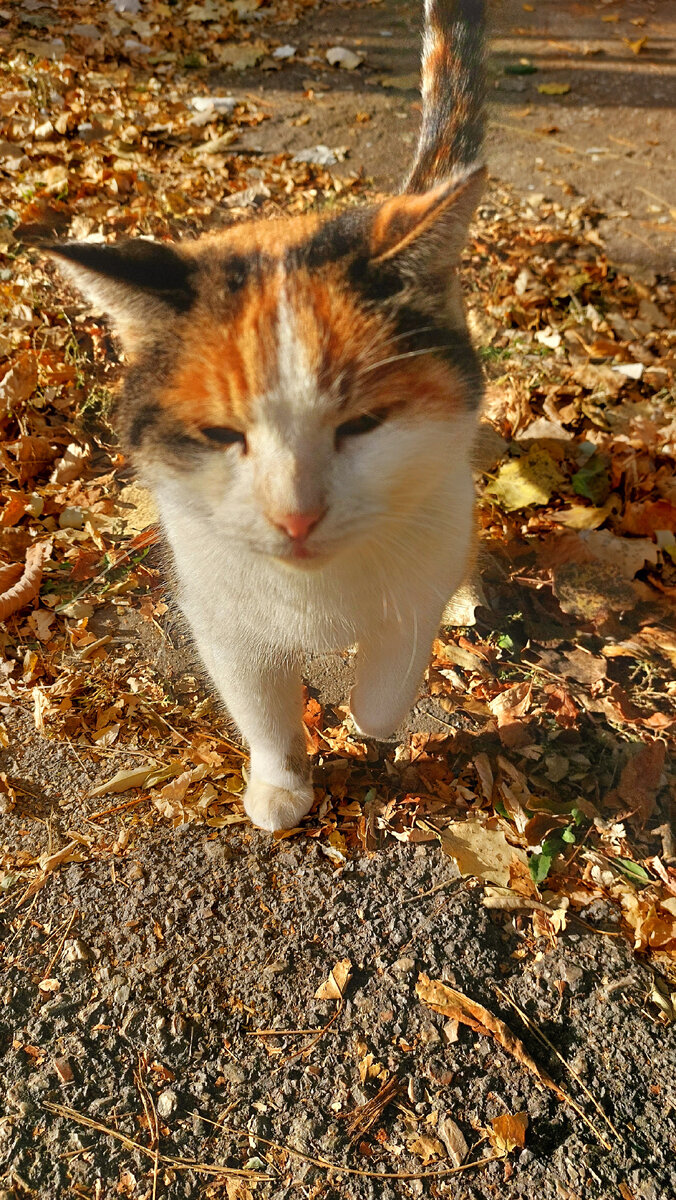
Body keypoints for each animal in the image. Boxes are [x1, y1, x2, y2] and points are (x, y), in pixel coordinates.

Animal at [52, 0, 487, 830]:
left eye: (362, 425)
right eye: (222, 436)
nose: (296, 518)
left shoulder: (427, 571)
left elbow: (390, 678)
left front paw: (370, 730)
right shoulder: (221, 617)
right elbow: (263, 709)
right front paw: (283, 784)